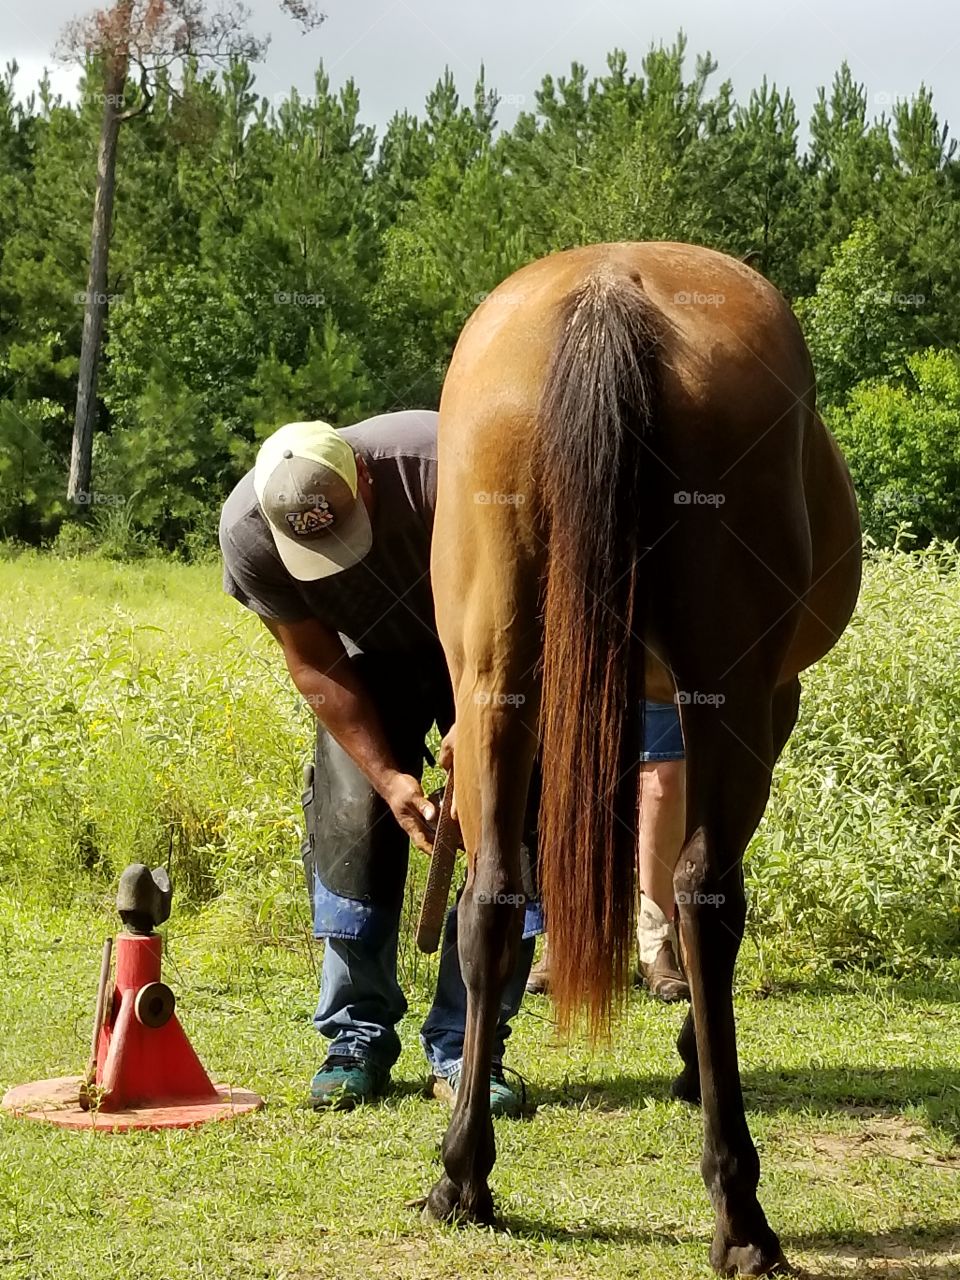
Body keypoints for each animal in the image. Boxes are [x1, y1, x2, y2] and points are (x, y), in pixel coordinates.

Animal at [424, 241, 860, 1280]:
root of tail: (610, 293)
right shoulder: (768, 702)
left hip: (496, 674)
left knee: (490, 893)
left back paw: (463, 1176)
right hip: (732, 692)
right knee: (709, 894)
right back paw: (740, 1210)